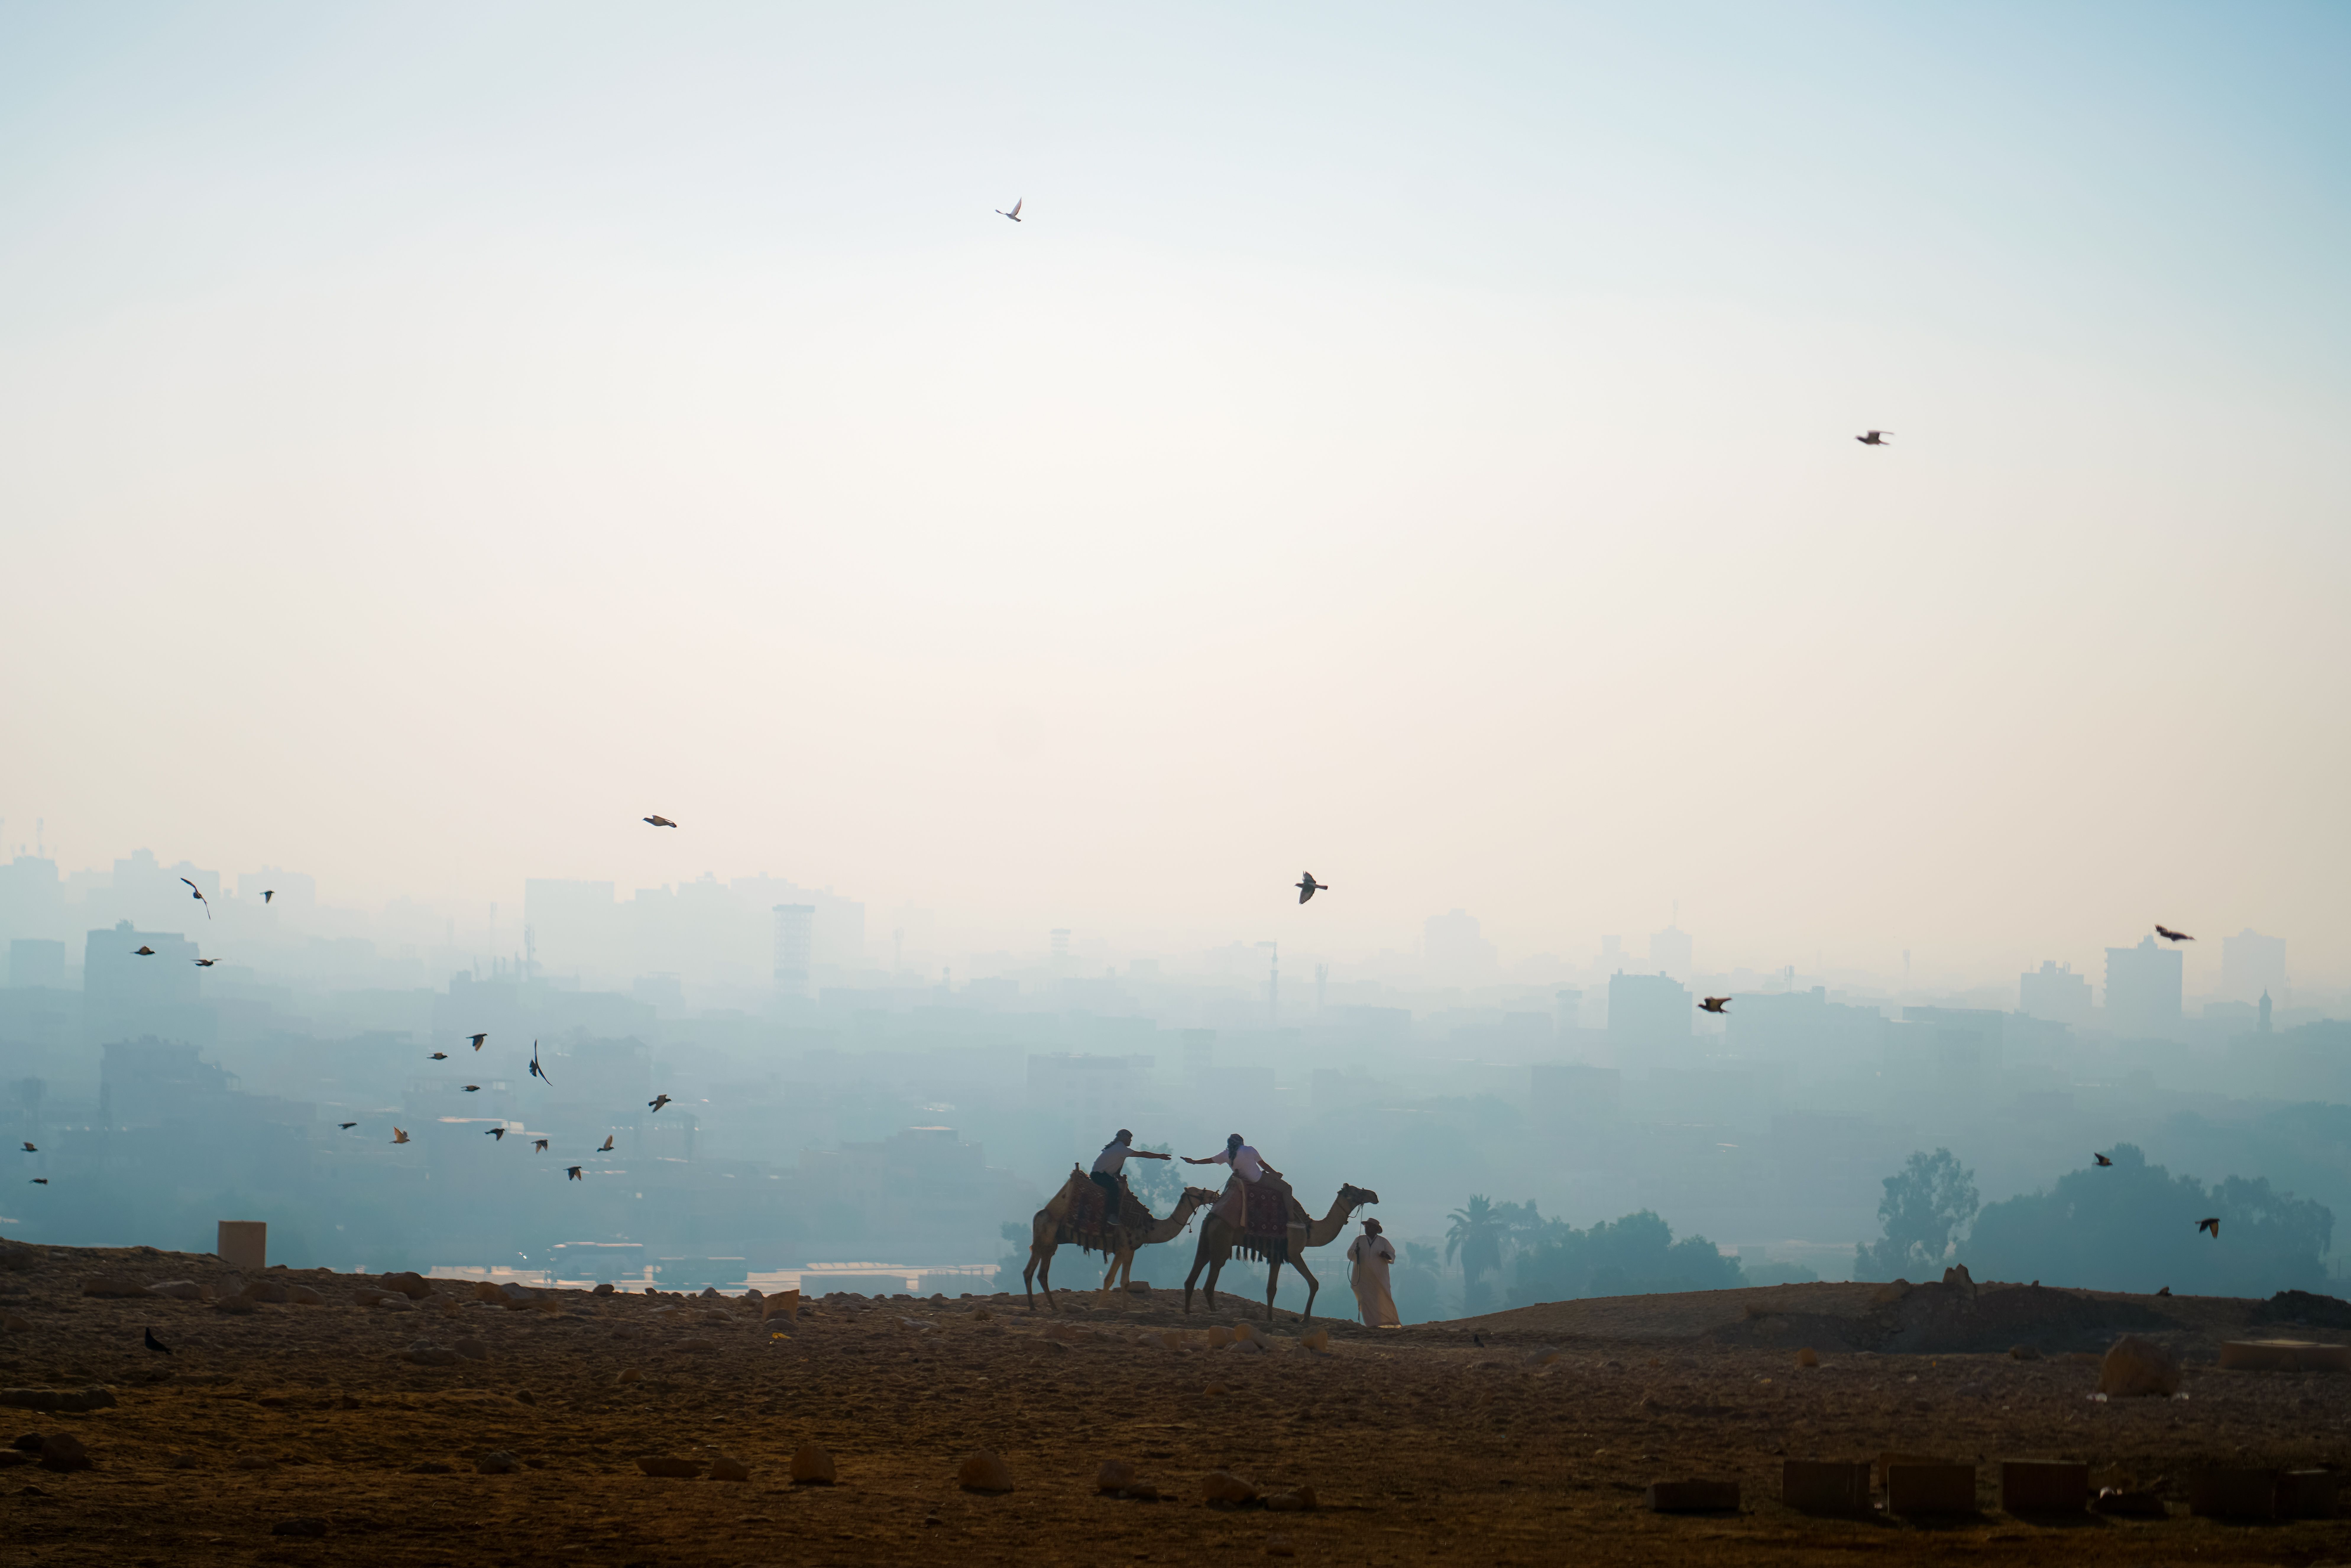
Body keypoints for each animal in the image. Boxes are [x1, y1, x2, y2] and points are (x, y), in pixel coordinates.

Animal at [1020, 1168, 1219, 1312]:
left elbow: (1120, 1281)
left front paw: (1120, 1308)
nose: (1215, 1195)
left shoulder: (1124, 1250)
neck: (1149, 1227)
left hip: (1050, 1243)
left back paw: (1047, 1307)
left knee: (1038, 1273)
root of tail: (1039, 1215)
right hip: (1045, 1239)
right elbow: (1114, 1279)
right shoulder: (1126, 1248)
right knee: (1034, 1272)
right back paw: (1037, 1306)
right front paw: (1104, 1308)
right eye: (1199, 1192)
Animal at [1182, 1181, 1379, 1325]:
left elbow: (1272, 1288)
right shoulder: (1292, 1253)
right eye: (1356, 1191)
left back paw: (1188, 1311)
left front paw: (1271, 1318)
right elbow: (1312, 1283)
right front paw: (1303, 1318)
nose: (1375, 1196)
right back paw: (1214, 1314)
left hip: (1206, 1241)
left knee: (1193, 1275)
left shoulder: (1274, 1256)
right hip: (1221, 1241)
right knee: (1209, 1283)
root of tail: (1212, 1217)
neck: (1310, 1231)